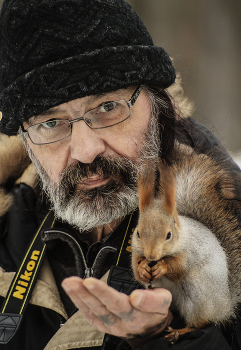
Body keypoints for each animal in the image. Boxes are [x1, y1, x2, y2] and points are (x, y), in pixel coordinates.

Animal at [131, 144, 241, 342]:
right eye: (138, 233)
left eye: (168, 235)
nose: (151, 255)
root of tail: (224, 307)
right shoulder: (136, 250)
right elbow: (135, 266)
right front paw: (142, 268)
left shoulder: (190, 252)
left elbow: (177, 267)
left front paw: (162, 267)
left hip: (196, 295)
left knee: (202, 322)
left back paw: (179, 331)